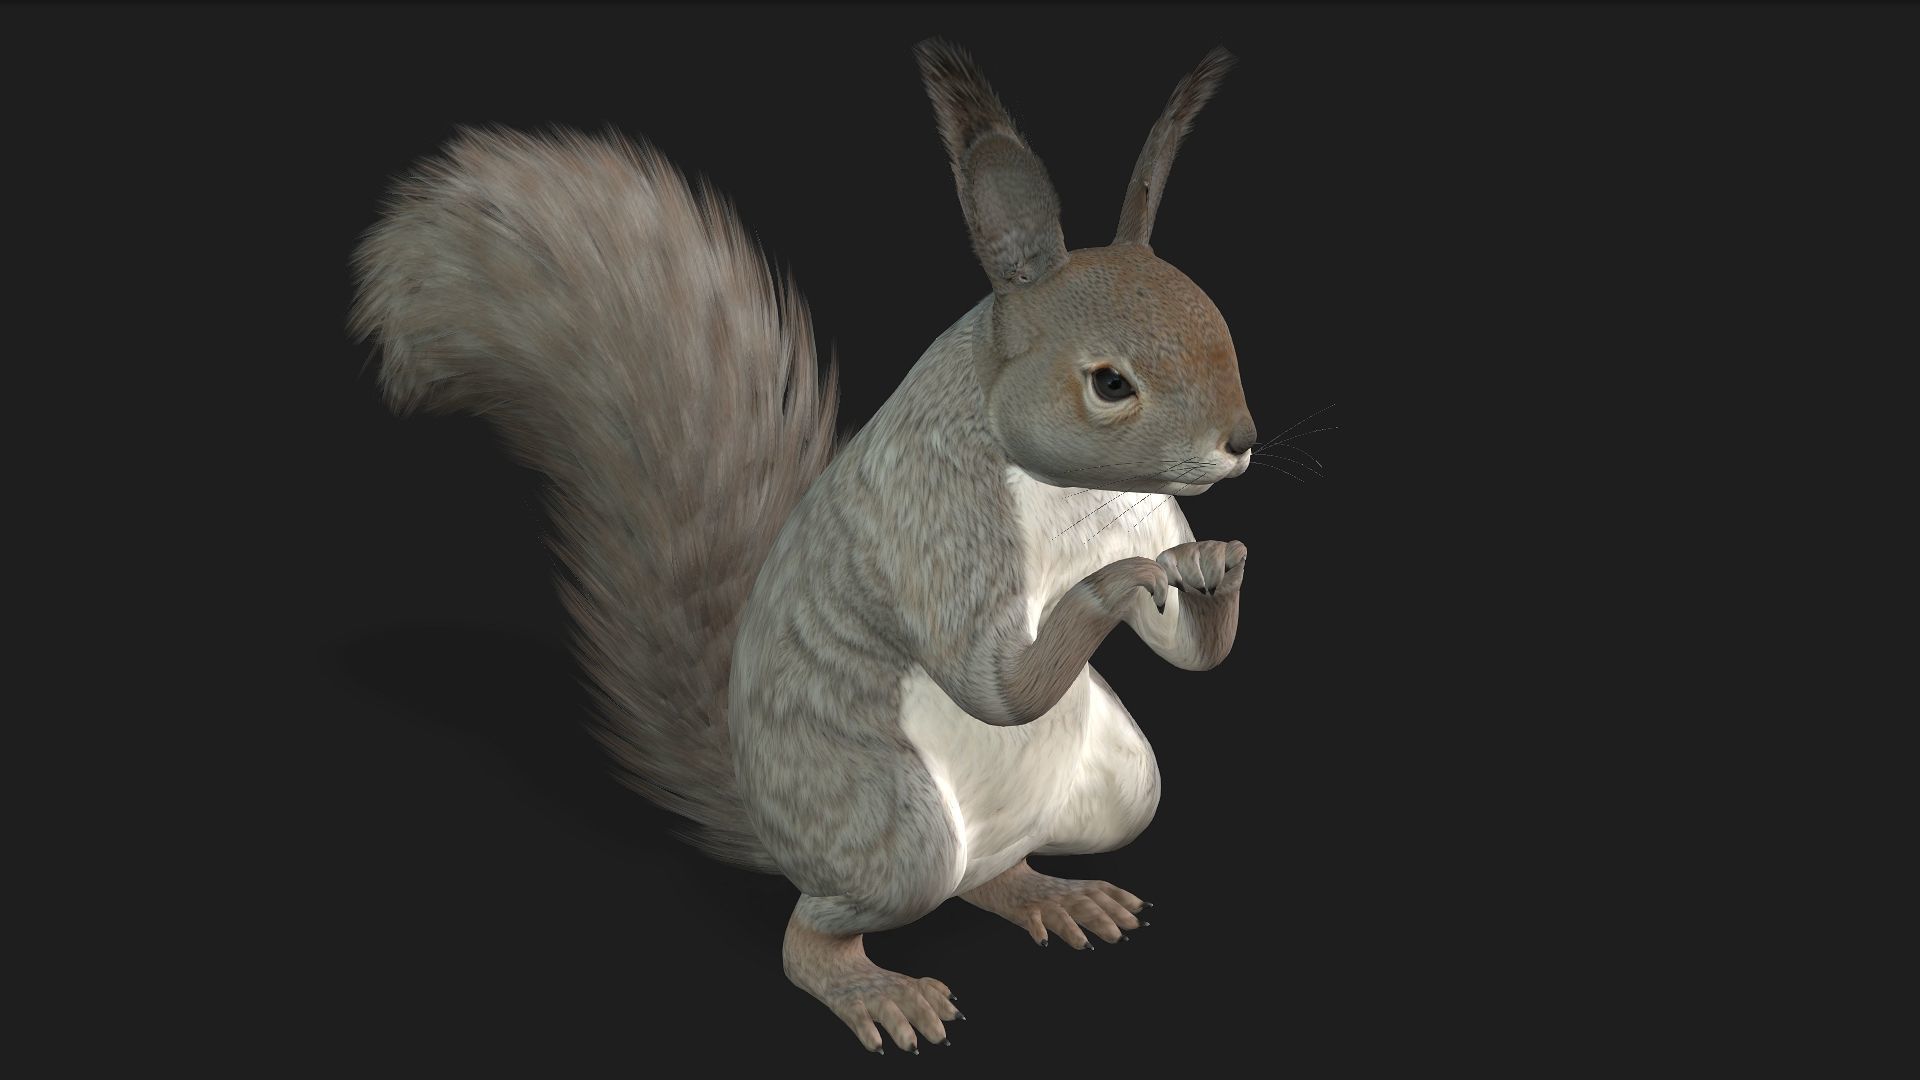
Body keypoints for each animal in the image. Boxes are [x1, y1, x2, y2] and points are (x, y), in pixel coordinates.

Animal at [350, 39, 1256, 1054]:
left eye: (1220, 323)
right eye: (1108, 383)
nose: (1241, 441)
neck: (1073, 488)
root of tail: (777, 830)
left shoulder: (1144, 509)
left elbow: (1183, 653)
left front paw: (1216, 571)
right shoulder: (937, 518)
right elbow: (993, 683)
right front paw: (1116, 582)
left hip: (1124, 784)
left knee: (994, 877)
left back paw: (1051, 895)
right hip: (891, 827)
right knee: (811, 937)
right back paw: (874, 991)